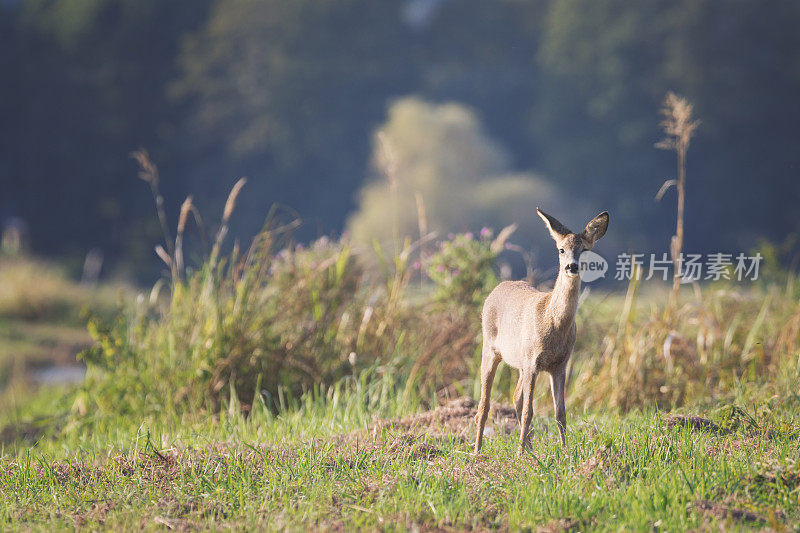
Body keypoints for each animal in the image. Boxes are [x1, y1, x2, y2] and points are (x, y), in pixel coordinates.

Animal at [472, 207, 608, 454]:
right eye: (561, 249)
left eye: (585, 250)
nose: (571, 266)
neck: (551, 322)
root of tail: (497, 287)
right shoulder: (532, 363)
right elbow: (529, 411)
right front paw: (518, 454)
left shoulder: (560, 366)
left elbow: (560, 413)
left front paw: (565, 451)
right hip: (490, 349)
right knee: (484, 406)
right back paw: (478, 452)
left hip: (519, 363)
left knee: (515, 397)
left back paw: (528, 447)